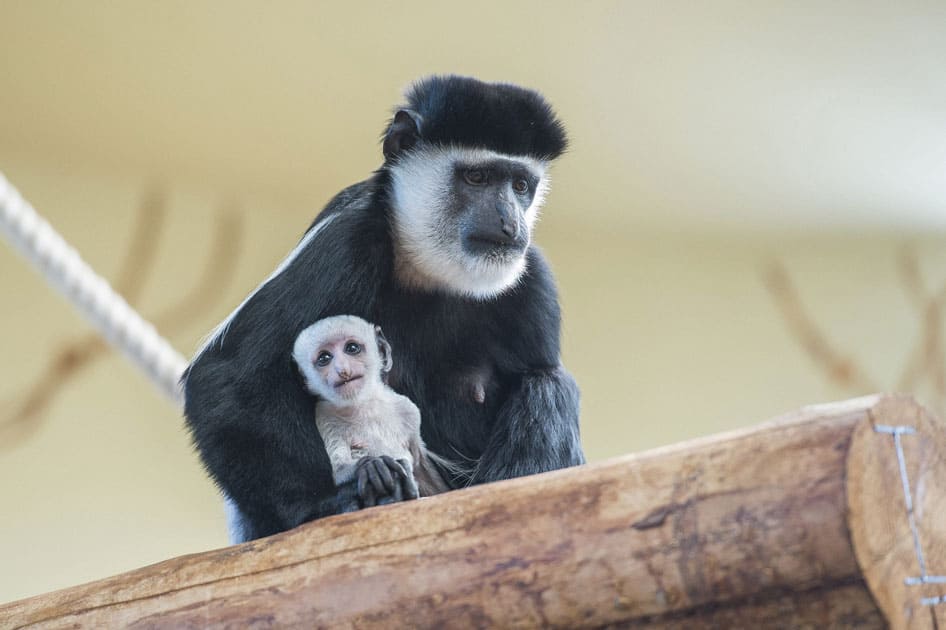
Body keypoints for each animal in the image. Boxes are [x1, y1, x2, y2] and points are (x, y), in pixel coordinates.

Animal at [294, 316, 452, 512]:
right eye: (324, 358)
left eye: (352, 348)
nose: (343, 370)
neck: (363, 405)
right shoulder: (325, 416)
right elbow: (339, 471)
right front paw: (372, 466)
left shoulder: (409, 410)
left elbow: (420, 466)